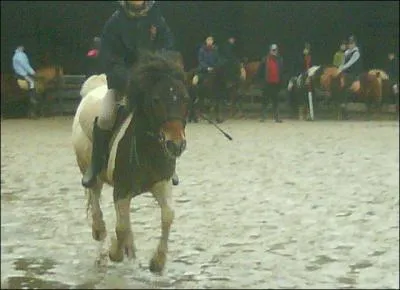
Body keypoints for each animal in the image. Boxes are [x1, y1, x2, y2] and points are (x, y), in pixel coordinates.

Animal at [71, 51, 189, 272]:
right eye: (156, 100)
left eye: (185, 98)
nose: (176, 145)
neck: (149, 147)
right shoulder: (122, 190)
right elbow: (121, 226)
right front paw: (115, 251)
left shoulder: (161, 183)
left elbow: (168, 215)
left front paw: (157, 262)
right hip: (89, 171)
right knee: (95, 201)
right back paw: (102, 245)